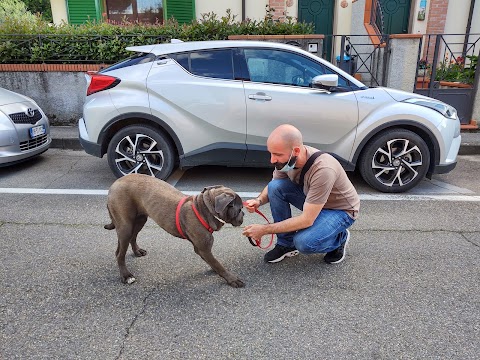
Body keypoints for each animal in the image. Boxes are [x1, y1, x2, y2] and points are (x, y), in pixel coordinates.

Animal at [106, 173, 246, 288]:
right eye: (239, 209)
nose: (244, 215)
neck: (204, 210)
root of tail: (114, 184)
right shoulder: (204, 249)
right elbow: (218, 264)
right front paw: (232, 279)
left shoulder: (202, 249)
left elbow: (213, 262)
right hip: (126, 226)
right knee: (119, 254)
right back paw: (126, 276)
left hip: (139, 220)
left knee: (132, 238)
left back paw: (137, 252)